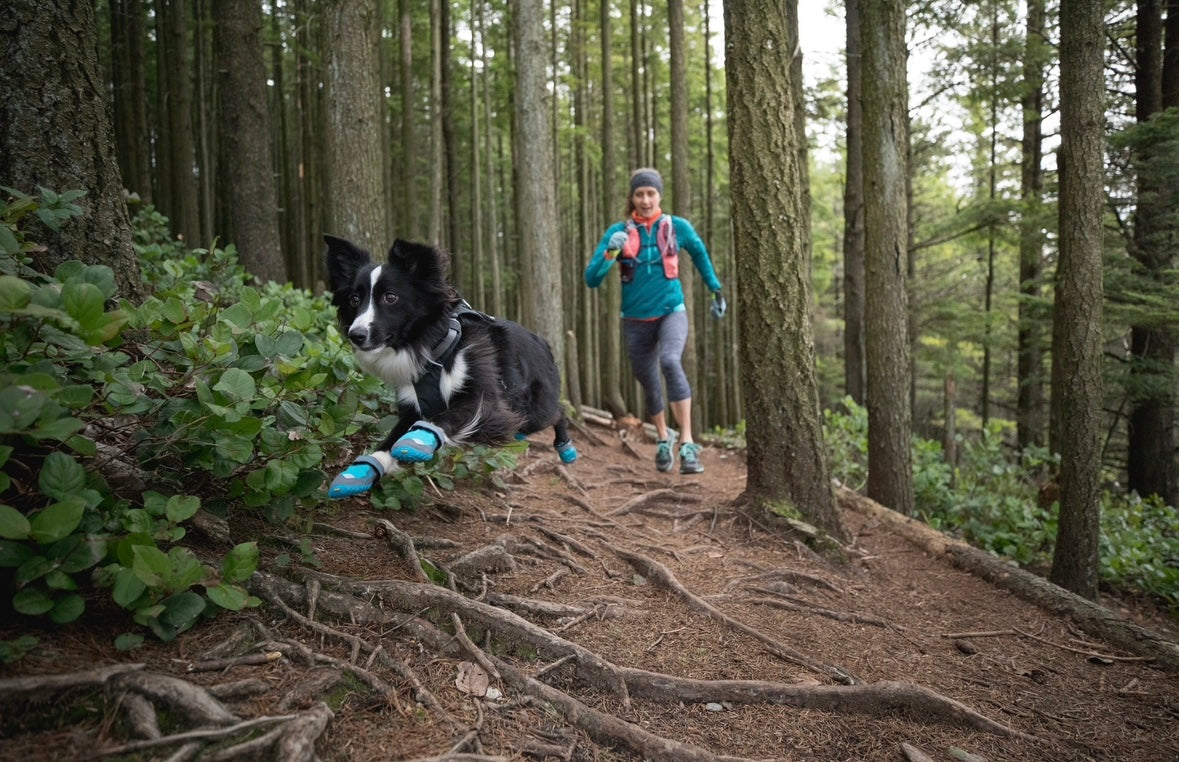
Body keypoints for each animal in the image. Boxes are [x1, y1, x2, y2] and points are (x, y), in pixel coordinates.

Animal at [327, 238, 575, 502]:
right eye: (354, 299)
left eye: (390, 297)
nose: (356, 335)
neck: (434, 348)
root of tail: (544, 343)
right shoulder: (412, 405)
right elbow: (390, 440)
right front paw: (361, 472)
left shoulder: (483, 397)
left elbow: (449, 416)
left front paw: (419, 438)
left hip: (536, 410)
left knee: (558, 411)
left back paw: (566, 448)